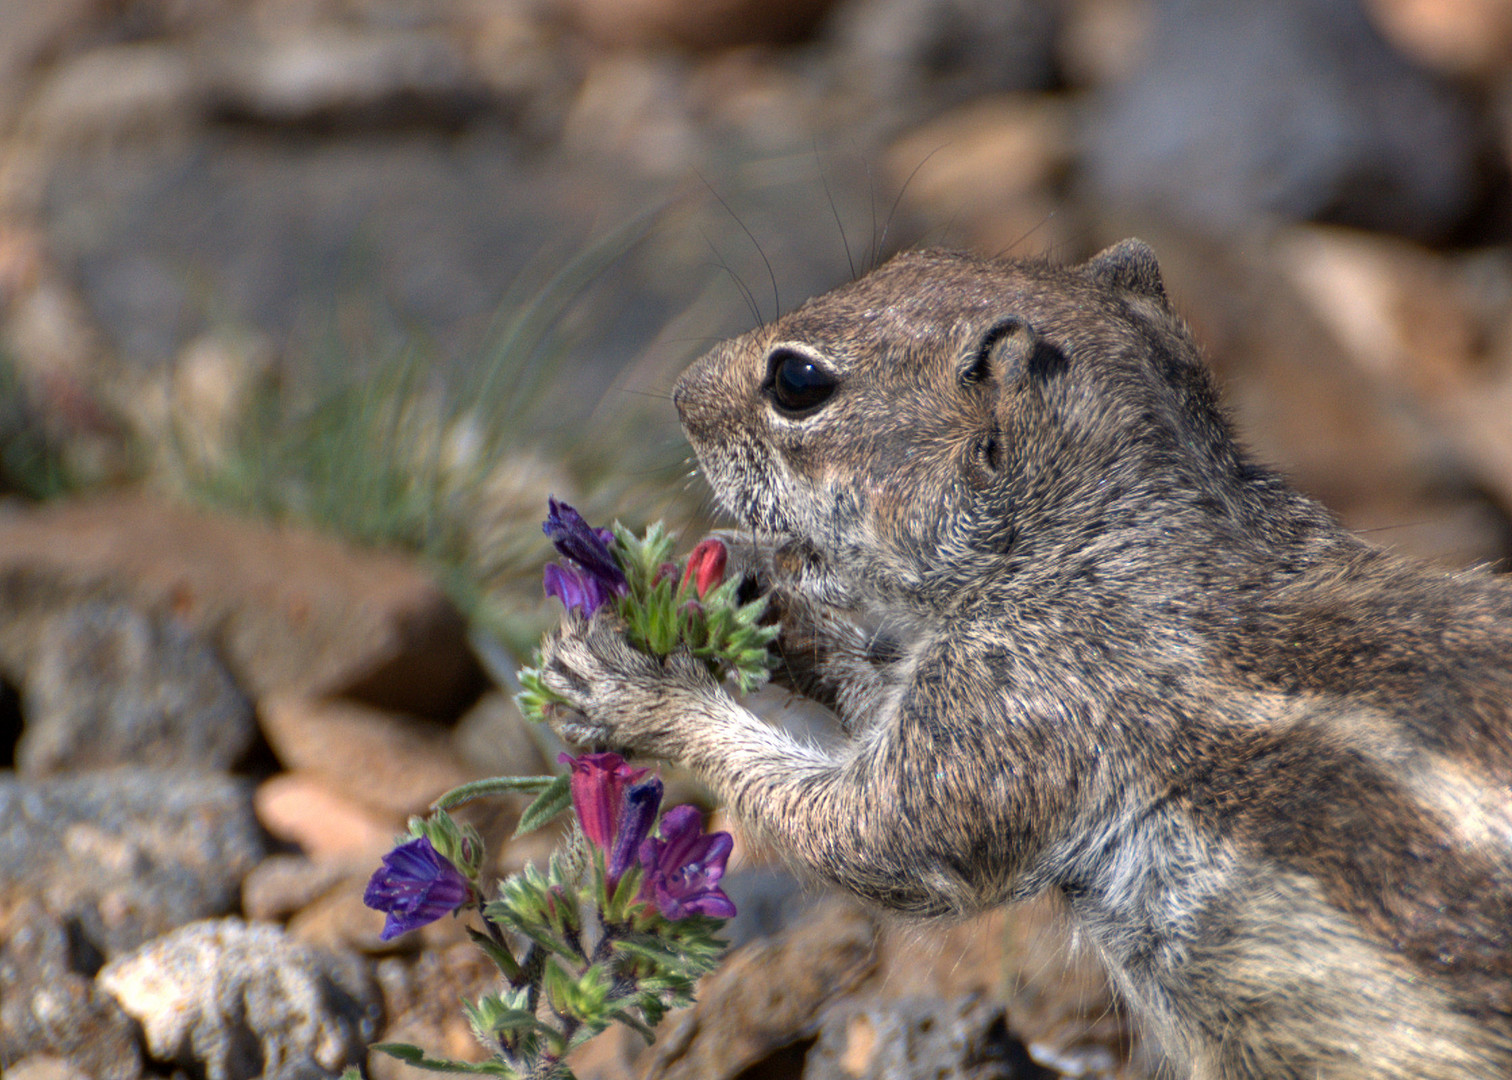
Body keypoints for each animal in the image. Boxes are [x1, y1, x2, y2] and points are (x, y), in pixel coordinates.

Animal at [538, 240, 1512, 1070]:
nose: (680, 394)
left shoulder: (1015, 710)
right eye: (906, 255)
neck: (1107, 541)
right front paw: (754, 579)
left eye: (797, 381)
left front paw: (637, 686)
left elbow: (865, 831)